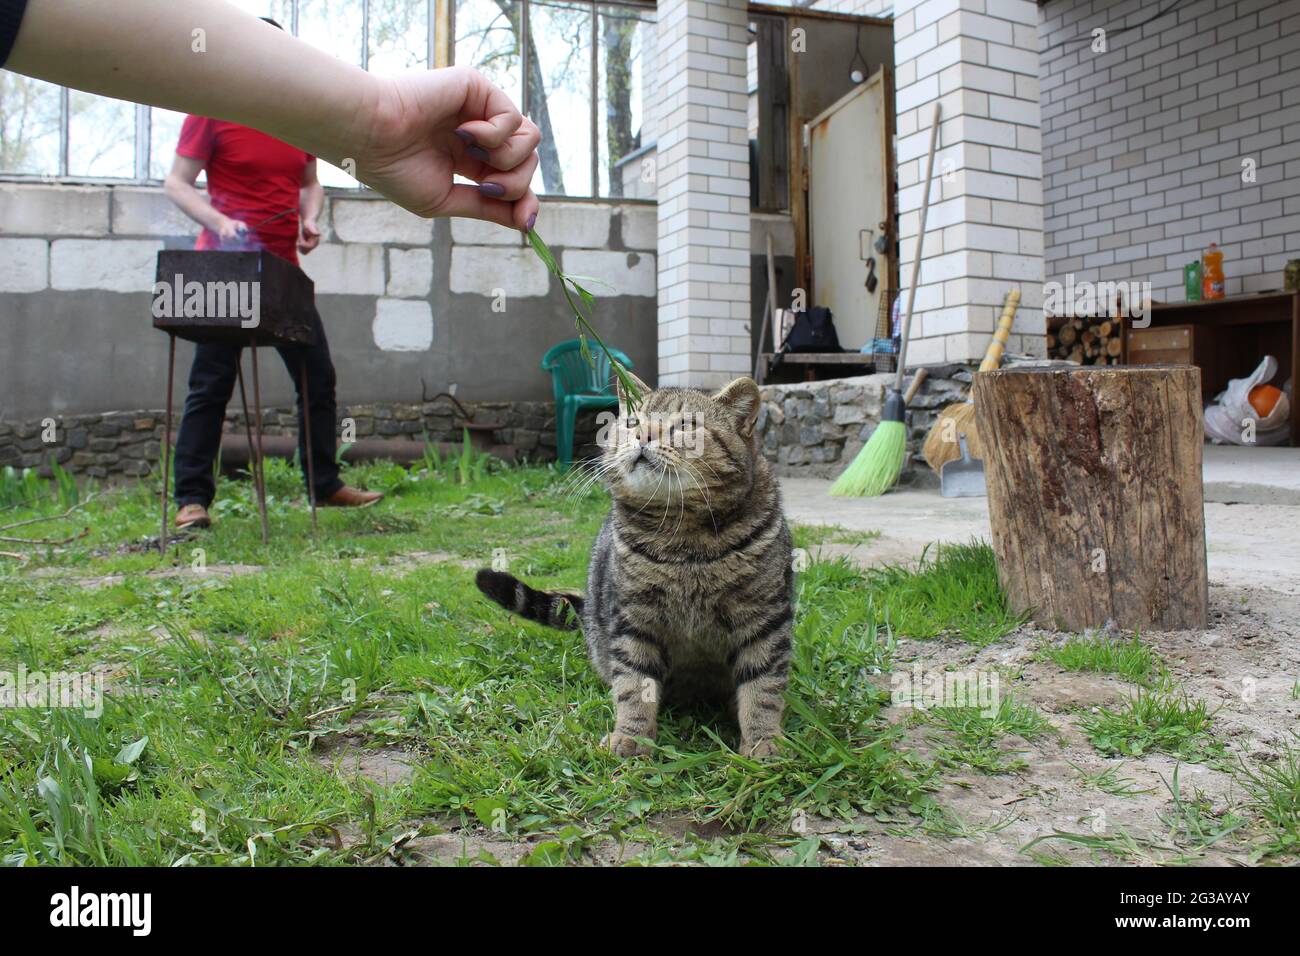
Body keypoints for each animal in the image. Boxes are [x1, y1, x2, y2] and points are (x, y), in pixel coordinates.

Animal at [480, 374, 790, 754]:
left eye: (685, 425)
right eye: (632, 422)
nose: (643, 435)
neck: (684, 538)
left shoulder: (765, 619)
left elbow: (763, 688)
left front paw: (763, 739)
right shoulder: (632, 619)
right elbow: (634, 684)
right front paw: (631, 735)